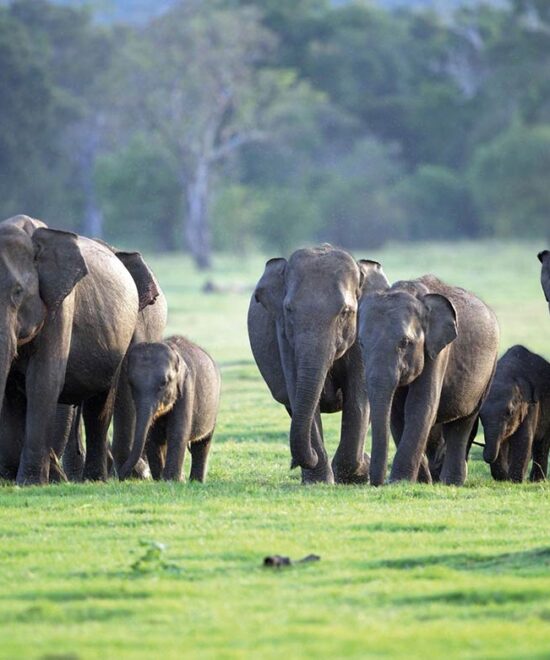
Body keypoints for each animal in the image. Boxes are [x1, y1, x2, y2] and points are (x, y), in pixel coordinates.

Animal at [0, 215, 157, 485]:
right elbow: (13, 389)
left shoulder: (62, 305)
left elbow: (44, 379)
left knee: (99, 407)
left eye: (18, 292)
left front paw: (31, 482)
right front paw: (12, 481)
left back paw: (96, 478)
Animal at [118, 335, 221, 482]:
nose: (120, 476)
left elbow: (178, 431)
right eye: (131, 384)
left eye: (164, 383)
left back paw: (196, 481)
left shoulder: (186, 388)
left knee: (203, 442)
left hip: (213, 408)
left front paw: (170, 480)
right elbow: (151, 436)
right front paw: (160, 479)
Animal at [247, 245, 390, 484]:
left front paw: (355, 475)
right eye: (289, 310)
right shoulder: (284, 336)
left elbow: (359, 397)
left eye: (346, 312)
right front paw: (318, 480)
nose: (294, 463)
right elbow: (298, 392)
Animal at [358, 274, 499, 486]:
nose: (377, 483)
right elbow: (397, 413)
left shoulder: (438, 351)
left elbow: (420, 406)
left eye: (405, 343)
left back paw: (452, 483)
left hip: (490, 369)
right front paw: (418, 482)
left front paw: (399, 481)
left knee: (464, 422)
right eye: (361, 343)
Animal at [481, 345, 550, 482]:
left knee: (542, 443)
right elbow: (502, 442)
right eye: (480, 416)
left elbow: (523, 438)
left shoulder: (531, 404)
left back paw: (537, 480)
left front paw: (515, 481)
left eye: (510, 412)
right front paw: (504, 479)